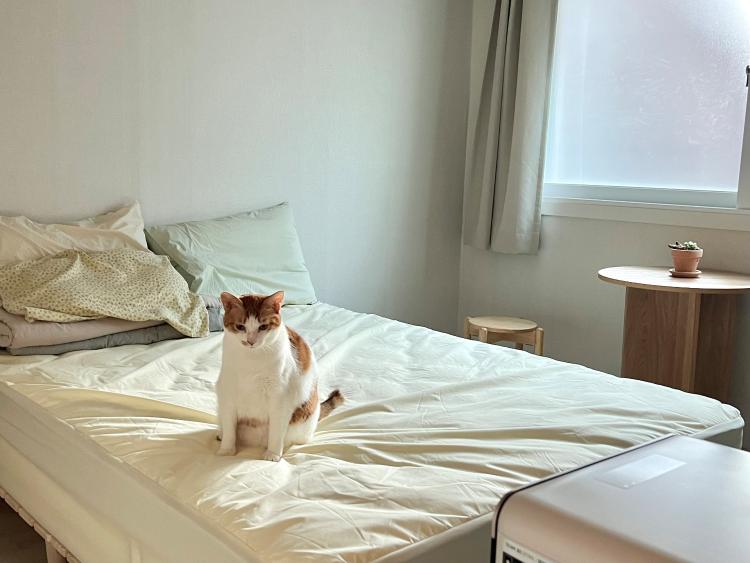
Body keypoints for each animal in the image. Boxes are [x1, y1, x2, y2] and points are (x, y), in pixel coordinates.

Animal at [216, 290, 343, 461]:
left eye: (263, 326)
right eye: (240, 327)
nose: (250, 341)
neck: (251, 360)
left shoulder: (280, 398)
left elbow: (276, 432)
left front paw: (273, 454)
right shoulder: (228, 392)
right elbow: (230, 427)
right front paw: (227, 450)